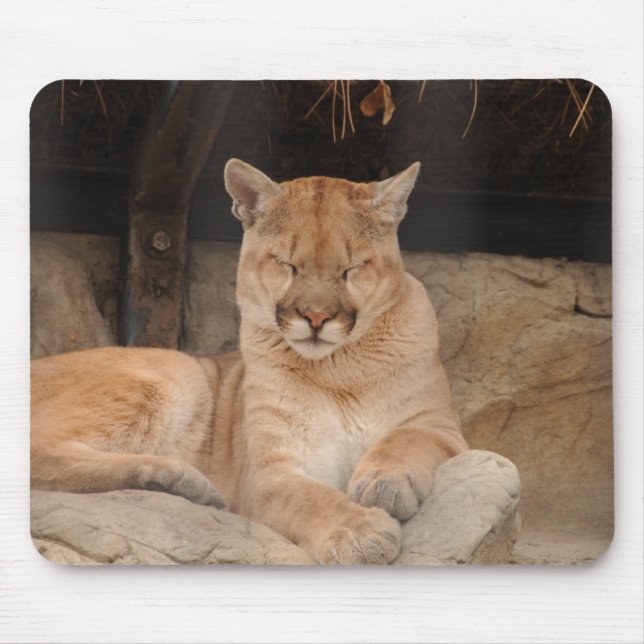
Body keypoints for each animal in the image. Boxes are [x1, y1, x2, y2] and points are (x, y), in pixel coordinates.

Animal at [30, 159, 467, 564]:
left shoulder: (441, 425)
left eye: (352, 268)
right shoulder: (269, 470)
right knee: (40, 454)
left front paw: (383, 483)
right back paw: (182, 479)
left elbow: (406, 438)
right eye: (287, 264)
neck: (338, 369)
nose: (316, 318)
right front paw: (359, 533)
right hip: (175, 373)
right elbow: (310, 498)